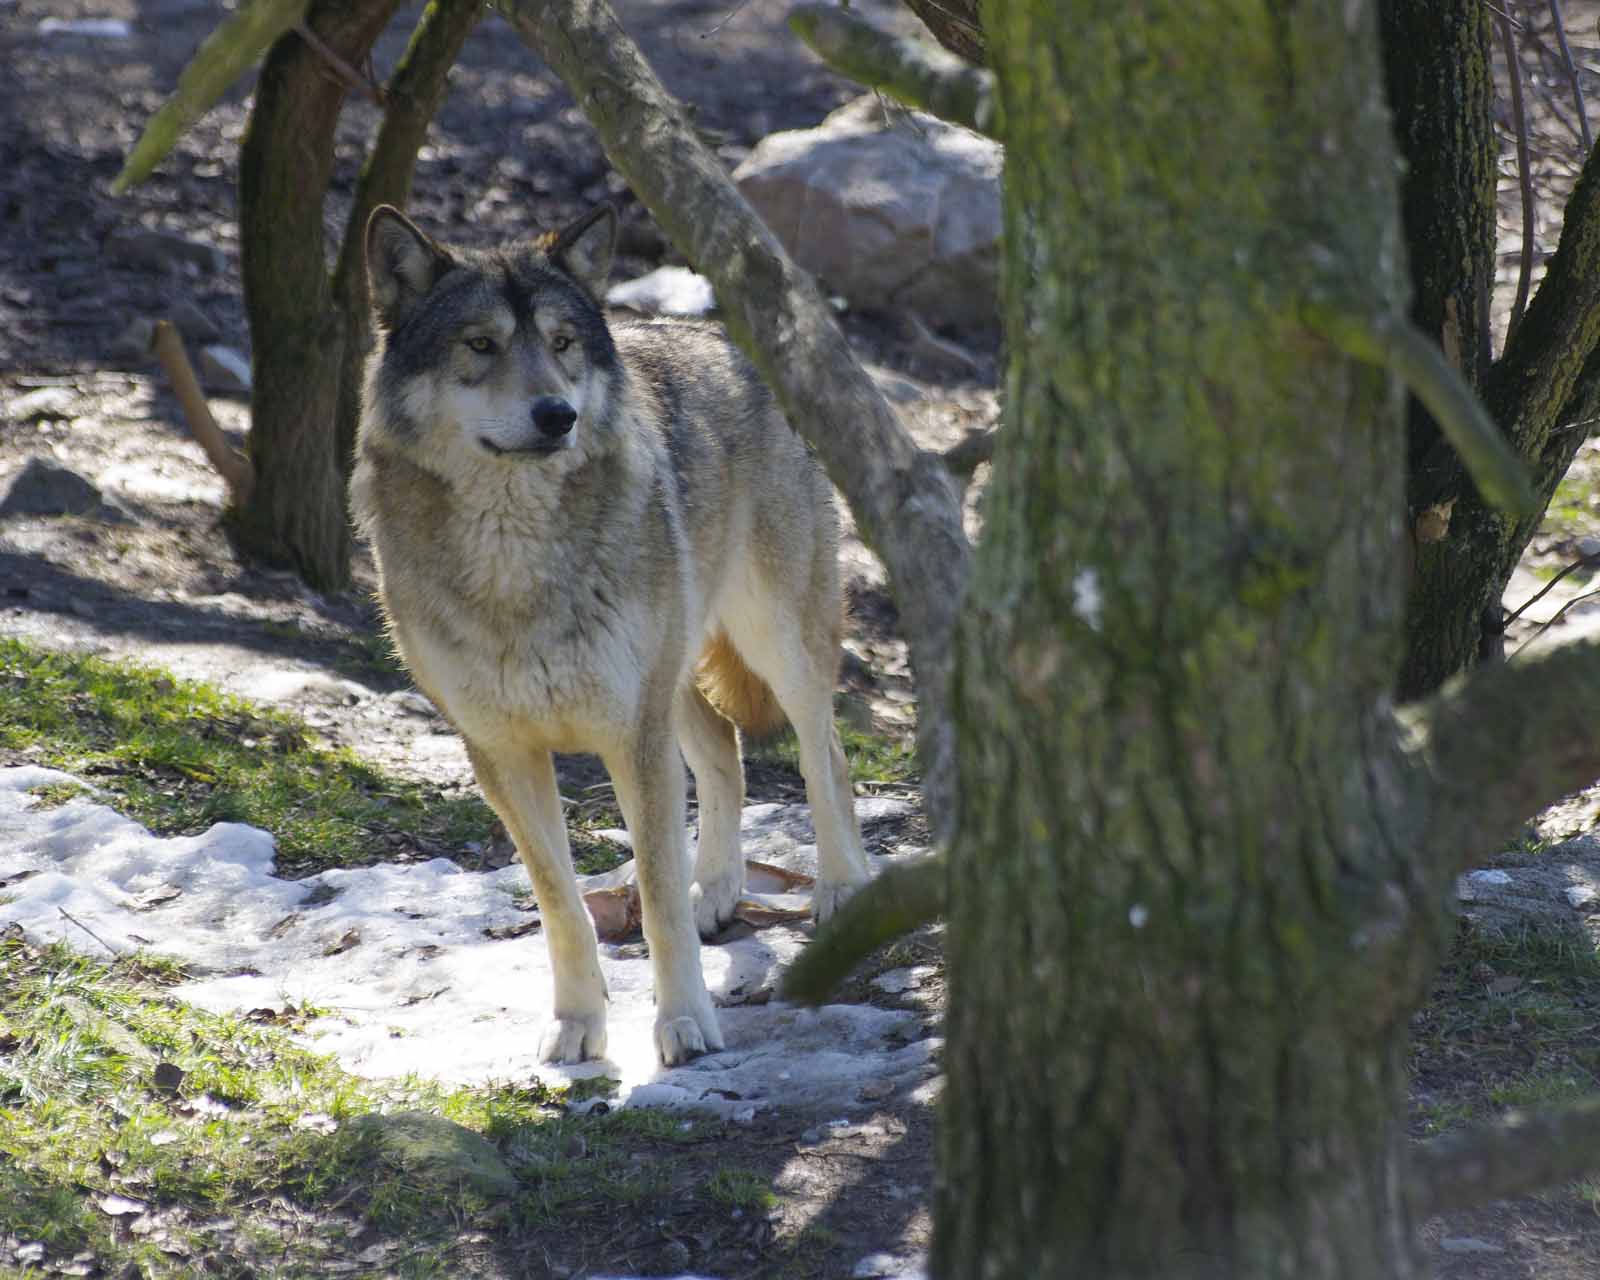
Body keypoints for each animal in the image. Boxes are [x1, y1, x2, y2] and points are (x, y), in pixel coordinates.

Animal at [350, 203, 873, 1068]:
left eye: (562, 342)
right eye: (481, 344)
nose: (556, 414)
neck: (515, 561)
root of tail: (724, 338)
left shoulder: (634, 736)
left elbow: (656, 898)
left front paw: (684, 1024)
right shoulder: (502, 752)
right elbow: (560, 903)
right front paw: (576, 1025)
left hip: (773, 646)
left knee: (820, 752)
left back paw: (841, 888)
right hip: (676, 681)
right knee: (725, 751)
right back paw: (718, 891)